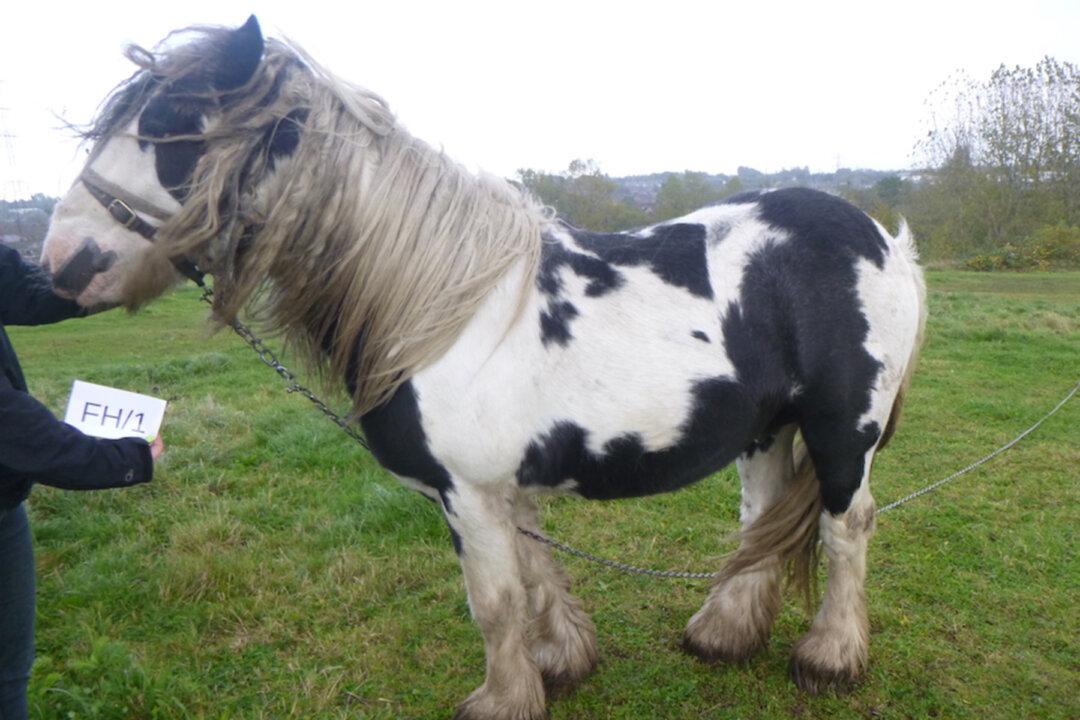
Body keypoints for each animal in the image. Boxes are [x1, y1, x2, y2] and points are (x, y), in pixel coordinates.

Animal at [41, 17, 927, 719]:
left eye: (171, 124)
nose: (63, 262)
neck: (439, 304)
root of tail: (881, 238)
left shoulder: (467, 491)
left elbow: (495, 602)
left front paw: (503, 700)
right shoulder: (502, 489)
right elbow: (533, 579)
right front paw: (561, 664)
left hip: (841, 434)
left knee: (846, 526)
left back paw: (830, 656)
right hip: (766, 429)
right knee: (764, 519)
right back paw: (724, 633)